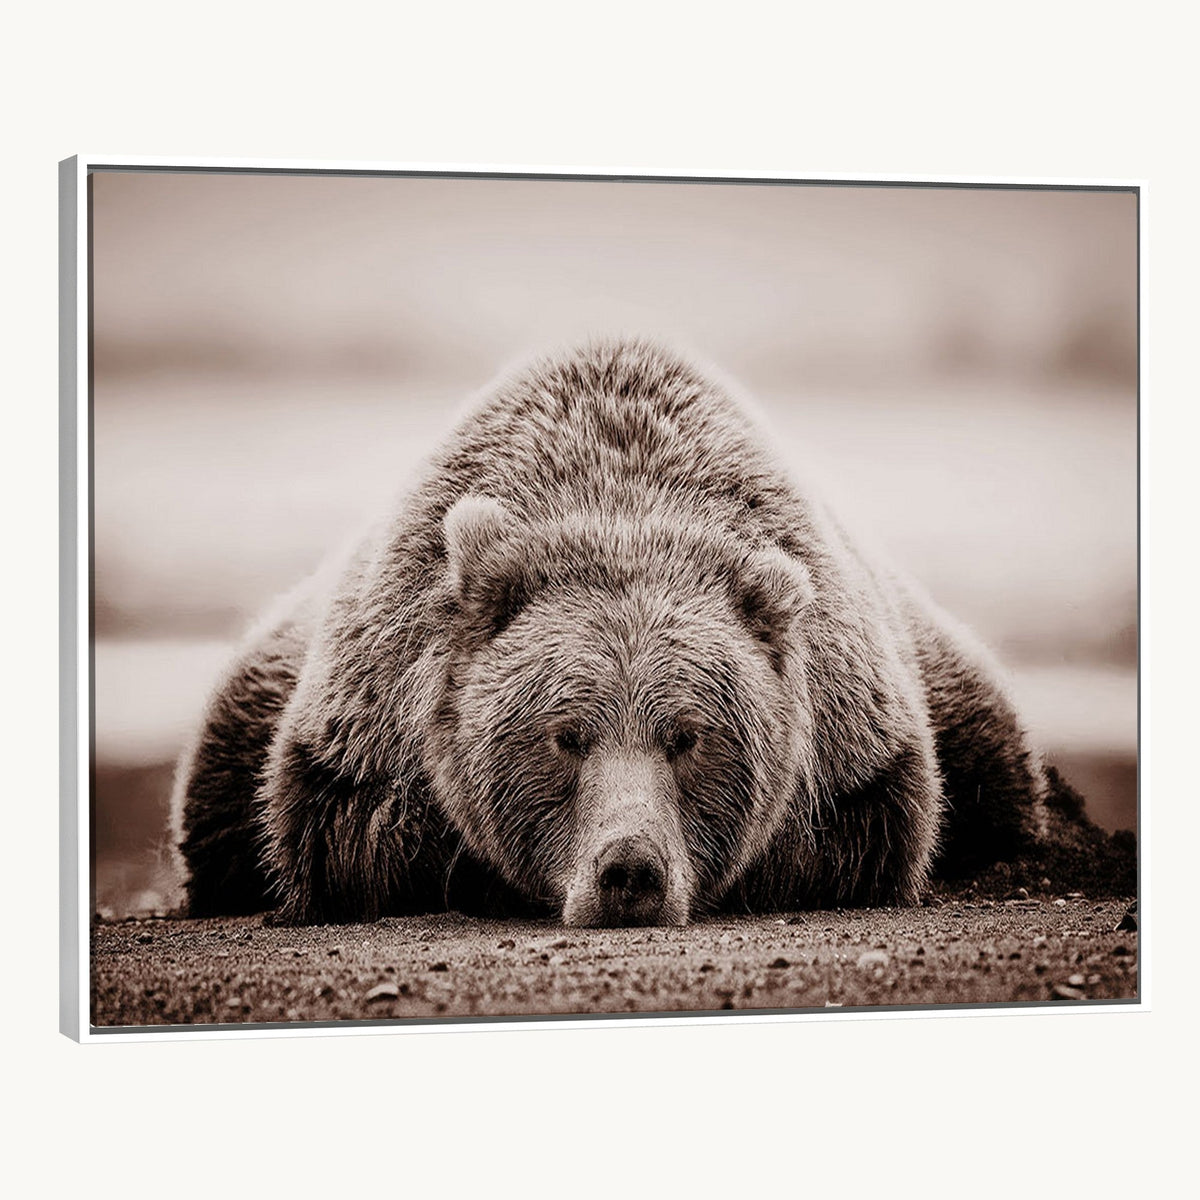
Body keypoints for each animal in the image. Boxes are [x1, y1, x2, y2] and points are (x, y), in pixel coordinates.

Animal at [171, 337, 1133, 926]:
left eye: (688, 736)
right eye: (564, 734)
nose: (629, 871)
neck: (622, 504)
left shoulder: (856, 733)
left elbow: (867, 831)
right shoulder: (368, 714)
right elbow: (347, 837)